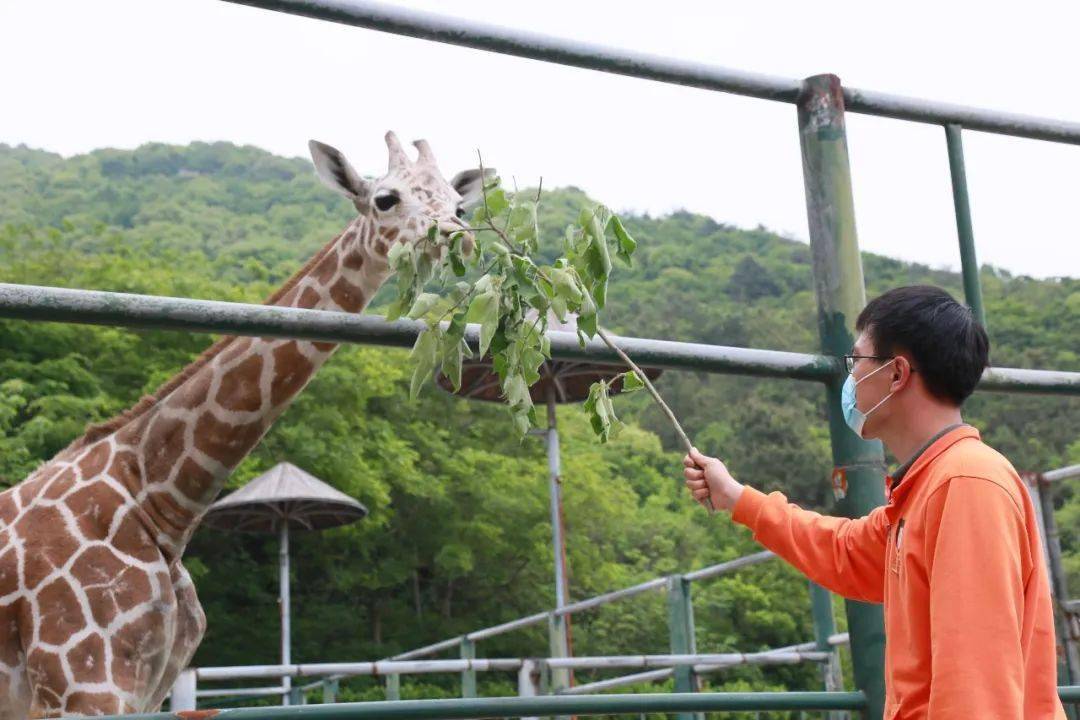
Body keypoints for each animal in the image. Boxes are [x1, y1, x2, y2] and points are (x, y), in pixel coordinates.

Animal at [0, 132, 490, 716]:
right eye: (385, 199)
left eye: (460, 207)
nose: (461, 242)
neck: (159, 500)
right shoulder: (83, 685)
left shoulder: (143, 690)